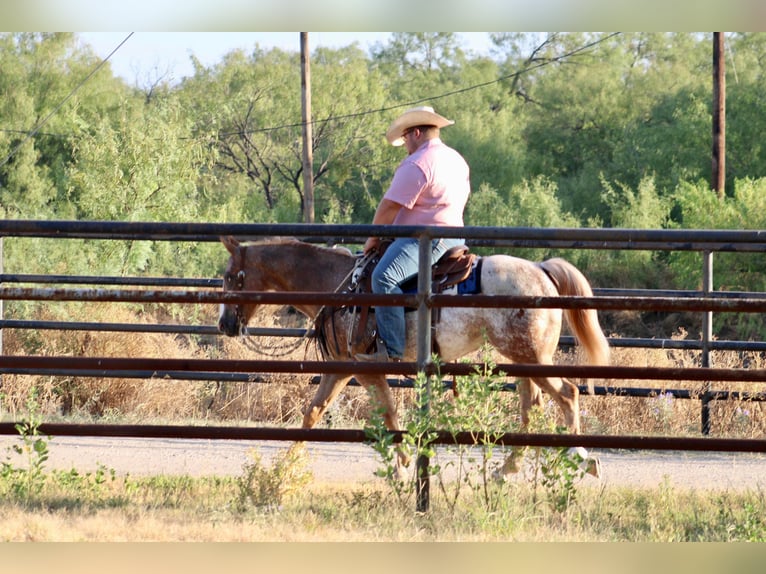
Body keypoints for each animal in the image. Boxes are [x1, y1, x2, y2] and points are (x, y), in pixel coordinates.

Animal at [218, 236, 612, 480]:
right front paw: (286, 464)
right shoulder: (341, 368)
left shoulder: (366, 368)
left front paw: (404, 463)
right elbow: (313, 411)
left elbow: (389, 413)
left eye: (230, 276)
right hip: (520, 360)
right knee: (533, 406)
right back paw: (507, 469)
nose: (224, 323)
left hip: (531, 357)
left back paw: (581, 457)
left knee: (567, 394)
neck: (337, 286)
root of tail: (542, 271)